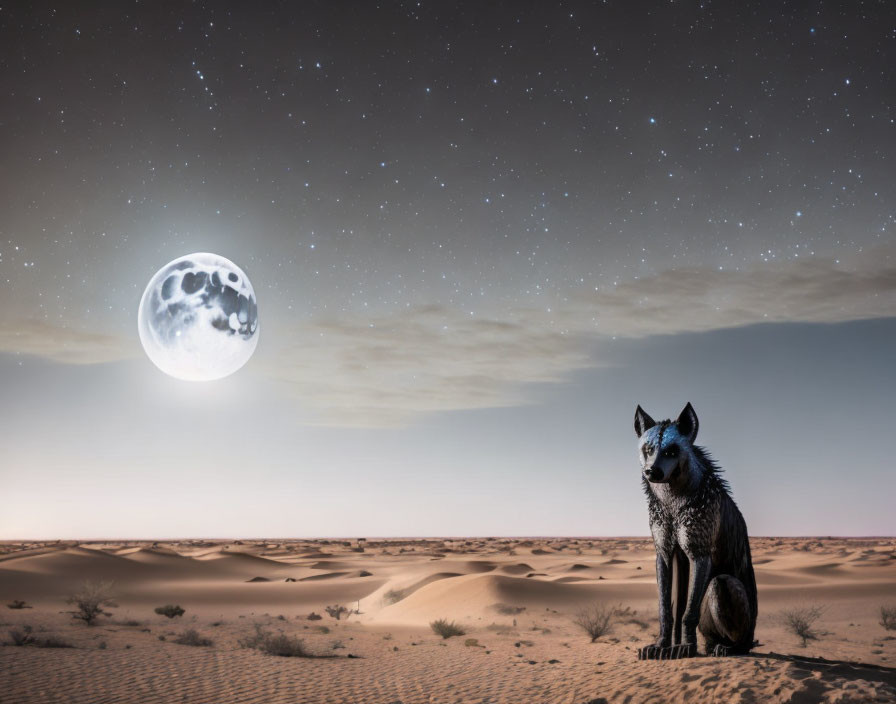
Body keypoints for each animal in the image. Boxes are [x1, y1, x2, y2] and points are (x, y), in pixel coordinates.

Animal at [632, 404, 760, 656]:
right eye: (648, 449)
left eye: (672, 451)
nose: (652, 471)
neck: (673, 504)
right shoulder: (665, 554)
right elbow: (667, 610)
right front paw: (662, 647)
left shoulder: (699, 554)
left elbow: (687, 613)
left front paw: (686, 648)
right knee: (709, 639)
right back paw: (712, 647)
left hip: (722, 585)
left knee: (738, 641)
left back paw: (727, 648)